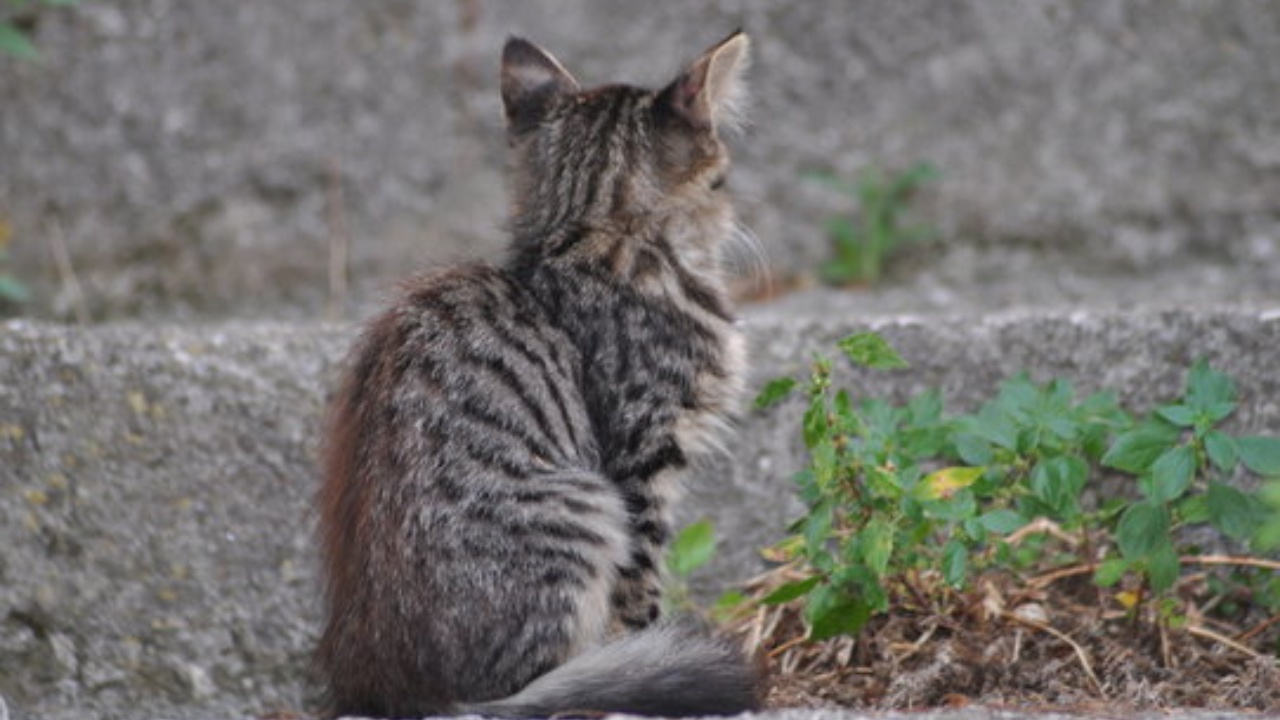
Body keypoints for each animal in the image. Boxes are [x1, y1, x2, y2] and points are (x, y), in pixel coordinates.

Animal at [317, 30, 757, 712]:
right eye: (719, 182)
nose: (733, 211)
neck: (587, 237)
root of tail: (399, 693)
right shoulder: (640, 461)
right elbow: (640, 594)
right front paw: (648, 651)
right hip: (585, 507)